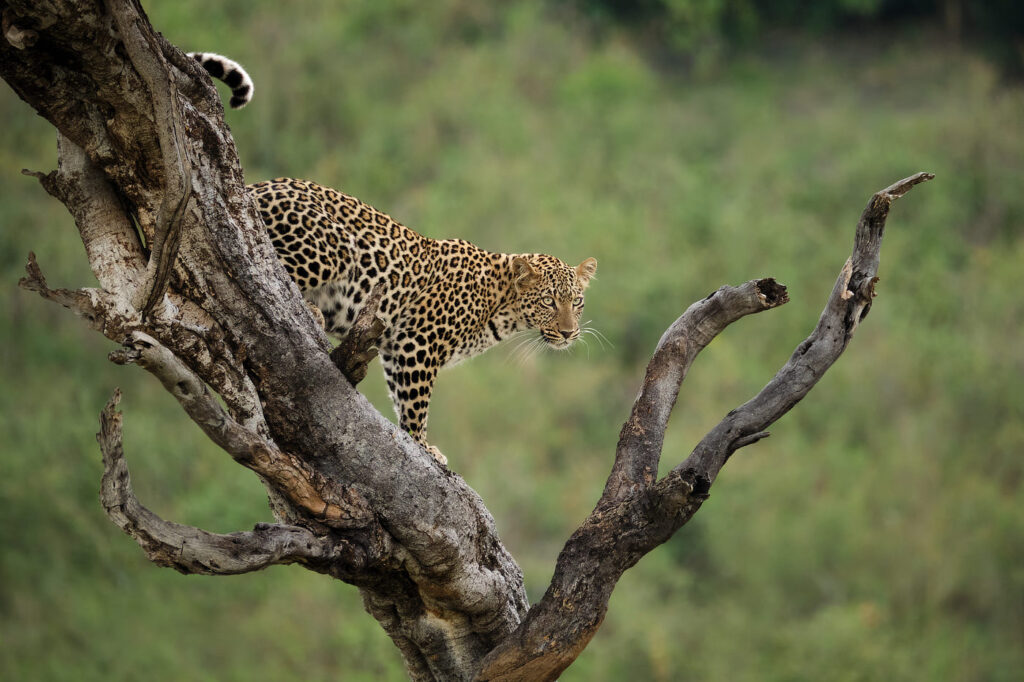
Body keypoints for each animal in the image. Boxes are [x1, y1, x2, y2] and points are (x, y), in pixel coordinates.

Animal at [191, 53, 598, 465]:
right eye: (549, 301)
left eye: (577, 302)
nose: (570, 333)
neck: (500, 306)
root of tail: (255, 185)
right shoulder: (419, 341)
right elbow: (417, 403)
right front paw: (422, 445)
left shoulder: (392, 346)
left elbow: (401, 396)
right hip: (332, 247)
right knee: (266, 264)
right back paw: (313, 310)